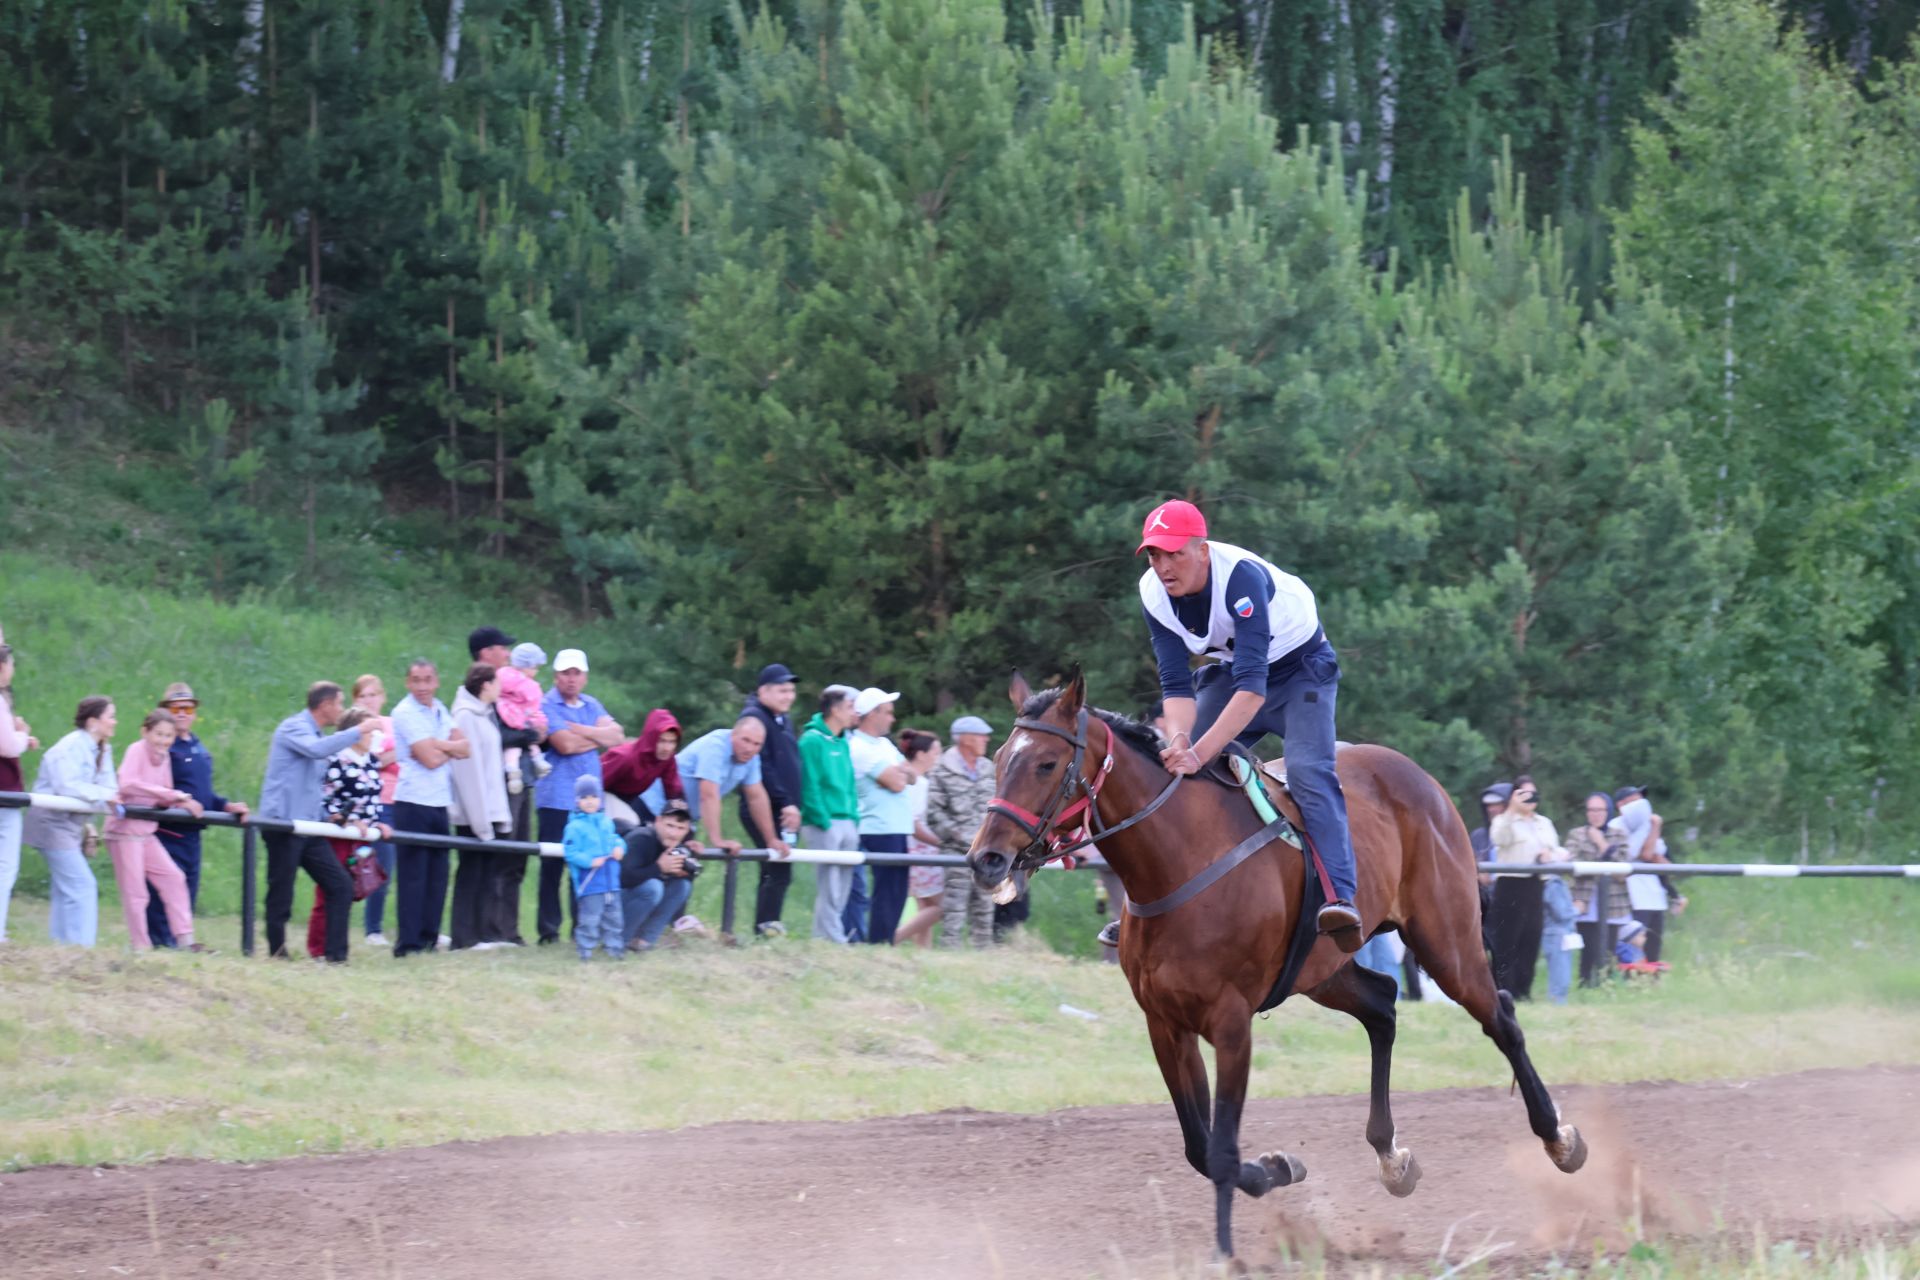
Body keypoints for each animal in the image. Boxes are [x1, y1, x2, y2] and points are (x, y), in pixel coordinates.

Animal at [967, 671, 1582, 1258]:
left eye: (1046, 763)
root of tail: (1422, 781)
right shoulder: (1165, 1022)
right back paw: (1390, 1155)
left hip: (1444, 940)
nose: (986, 858)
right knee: (1383, 1004)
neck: (1175, 862)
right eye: (998, 760)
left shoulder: (1230, 1022)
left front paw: (1225, 1249)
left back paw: (1559, 1139)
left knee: (1500, 1017)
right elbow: (1198, 1145)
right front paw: (1273, 1169)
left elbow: (1219, 1146)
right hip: (1324, 968)